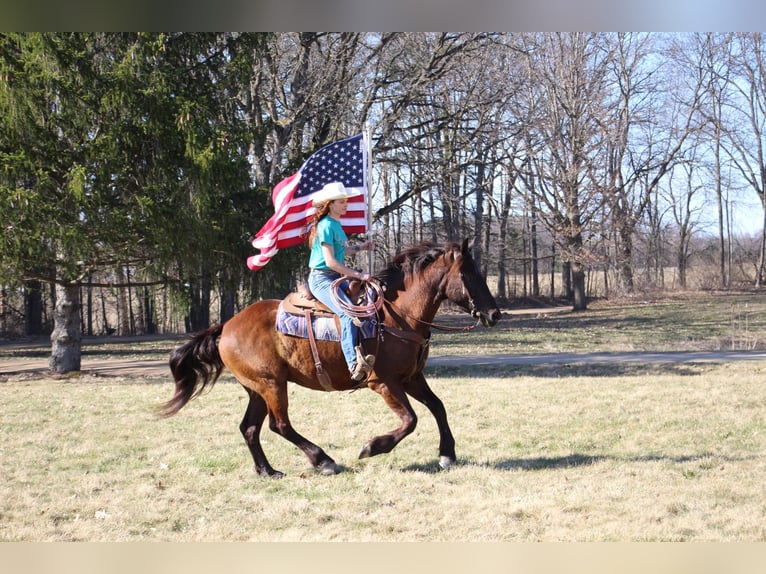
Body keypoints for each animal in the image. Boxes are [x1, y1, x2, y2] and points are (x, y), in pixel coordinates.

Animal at [160, 238, 504, 476]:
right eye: (468, 274)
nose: (494, 314)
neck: (397, 316)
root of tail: (226, 326)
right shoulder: (383, 383)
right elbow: (410, 420)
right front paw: (372, 447)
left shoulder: (411, 378)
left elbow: (438, 407)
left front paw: (447, 454)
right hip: (272, 385)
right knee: (279, 425)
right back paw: (322, 460)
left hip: (256, 388)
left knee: (250, 428)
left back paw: (268, 471)